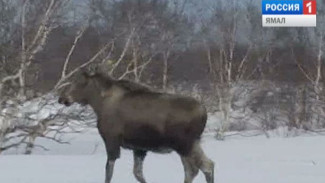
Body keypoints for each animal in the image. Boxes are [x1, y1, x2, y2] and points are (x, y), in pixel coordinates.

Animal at [58, 71, 214, 183]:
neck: (98, 104)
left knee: (198, 168)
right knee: (205, 166)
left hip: (184, 145)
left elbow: (109, 172)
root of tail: (204, 112)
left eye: (78, 83)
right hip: (190, 144)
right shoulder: (139, 148)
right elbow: (137, 173)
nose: (62, 98)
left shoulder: (111, 140)